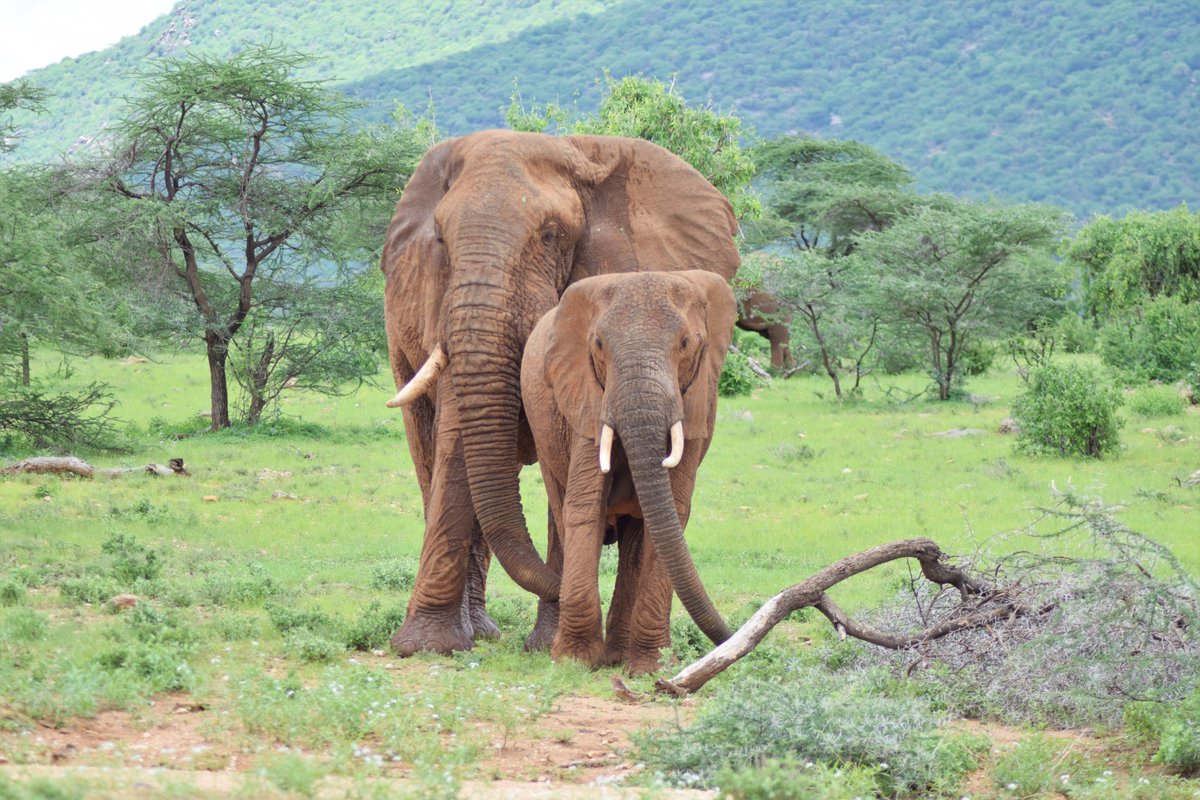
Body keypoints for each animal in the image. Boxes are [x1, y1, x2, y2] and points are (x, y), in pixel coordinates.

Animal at [520, 270, 736, 674]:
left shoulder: (695, 401)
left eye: (686, 343)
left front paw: (652, 669)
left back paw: (619, 657)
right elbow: (584, 505)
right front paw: (572, 662)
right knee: (563, 507)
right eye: (599, 344)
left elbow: (671, 514)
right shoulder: (585, 399)